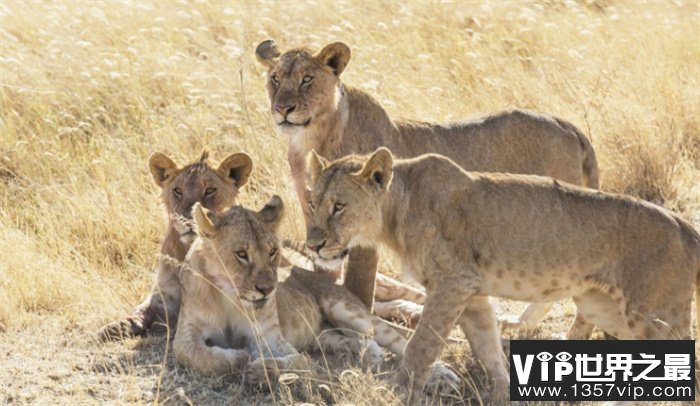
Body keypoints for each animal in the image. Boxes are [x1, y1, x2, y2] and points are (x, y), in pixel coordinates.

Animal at [97, 150, 253, 340]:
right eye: (178, 191)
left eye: (210, 190)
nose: (188, 220)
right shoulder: (164, 294)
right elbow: (140, 309)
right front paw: (116, 327)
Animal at [175, 197, 460, 394]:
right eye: (241, 254)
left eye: (272, 252)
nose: (268, 289)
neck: (228, 294)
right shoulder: (187, 328)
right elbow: (191, 354)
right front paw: (237, 357)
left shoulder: (268, 338)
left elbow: (300, 362)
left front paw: (259, 369)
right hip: (324, 337)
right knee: (361, 340)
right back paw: (371, 356)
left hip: (344, 307)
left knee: (400, 341)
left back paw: (443, 375)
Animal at [254, 39, 600, 334]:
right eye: (275, 78)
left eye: (307, 79)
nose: (283, 109)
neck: (311, 139)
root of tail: (570, 127)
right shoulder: (316, 220)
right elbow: (325, 270)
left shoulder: (363, 231)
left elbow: (358, 286)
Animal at [304, 147, 700, 396]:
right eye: (311, 203)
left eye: (339, 206)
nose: (313, 245)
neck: (396, 209)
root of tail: (685, 227)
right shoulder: (472, 293)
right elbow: (489, 351)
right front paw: (505, 392)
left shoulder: (452, 282)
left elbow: (421, 347)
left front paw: (398, 392)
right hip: (603, 309)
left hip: (654, 317)